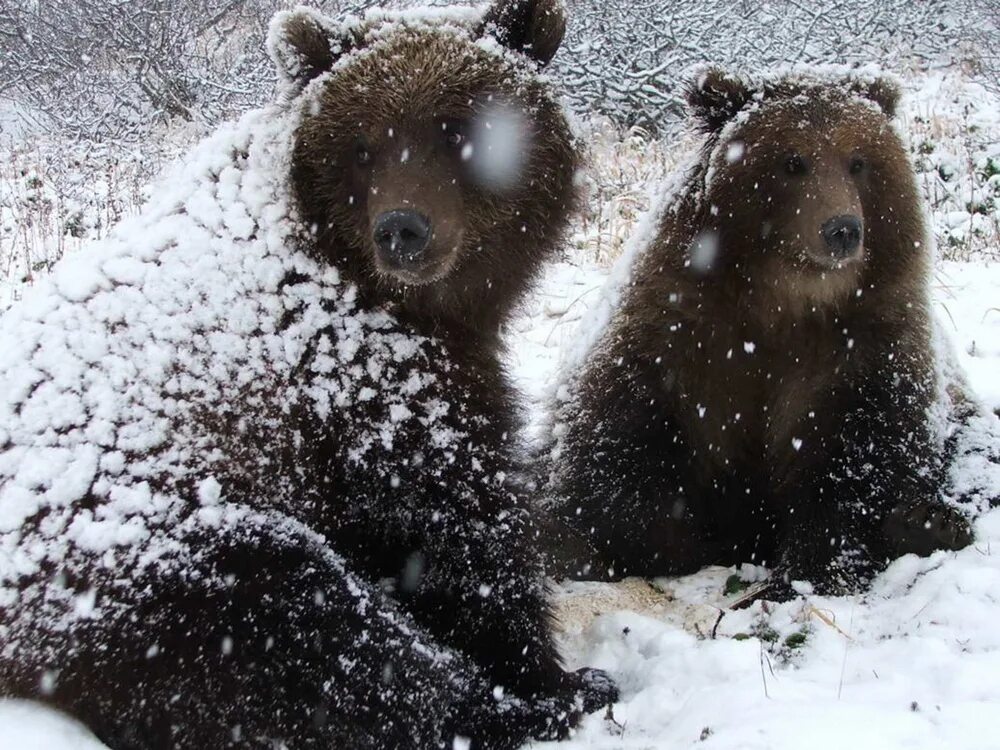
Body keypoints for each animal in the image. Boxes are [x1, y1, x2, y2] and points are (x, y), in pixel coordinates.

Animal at [0, 2, 612, 748]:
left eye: (457, 129)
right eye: (363, 145)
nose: (402, 229)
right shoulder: (363, 378)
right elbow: (460, 533)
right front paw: (550, 681)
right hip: (132, 552)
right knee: (305, 627)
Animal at [548, 67, 976, 596]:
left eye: (858, 161)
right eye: (793, 161)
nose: (842, 230)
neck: (785, 298)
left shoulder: (868, 353)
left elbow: (858, 464)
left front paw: (810, 568)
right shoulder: (678, 333)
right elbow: (615, 443)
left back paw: (930, 522)